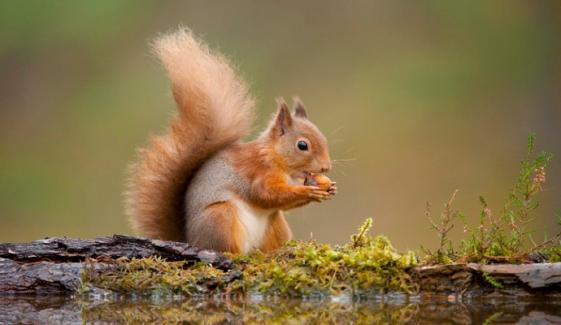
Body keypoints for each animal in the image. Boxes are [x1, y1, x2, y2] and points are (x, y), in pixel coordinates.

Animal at [124, 28, 334, 253]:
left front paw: (329, 187)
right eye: (302, 145)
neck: (275, 157)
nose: (326, 167)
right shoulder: (257, 172)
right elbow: (265, 194)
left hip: (275, 224)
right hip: (221, 217)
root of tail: (192, 240)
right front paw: (308, 191)